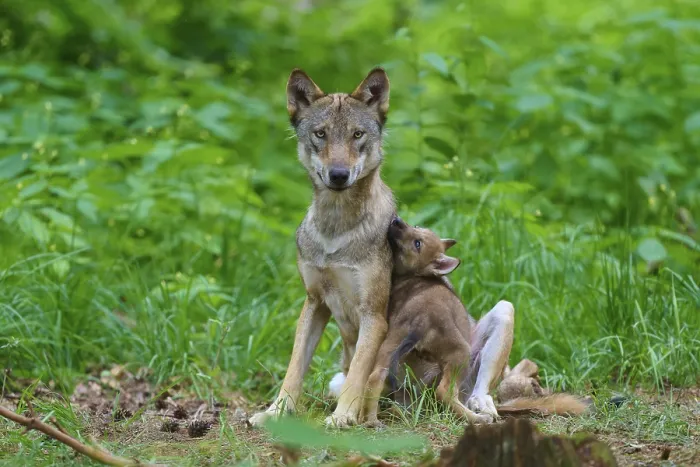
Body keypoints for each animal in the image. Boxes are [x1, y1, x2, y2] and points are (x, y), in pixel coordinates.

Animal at [249, 67, 396, 428]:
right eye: (320, 134)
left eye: (357, 134)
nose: (339, 174)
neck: (335, 231)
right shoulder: (314, 302)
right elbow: (294, 368)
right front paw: (275, 412)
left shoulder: (374, 316)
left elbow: (358, 371)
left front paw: (342, 417)